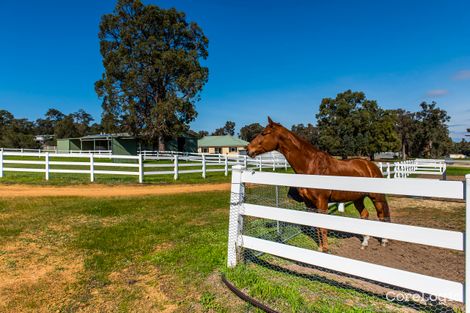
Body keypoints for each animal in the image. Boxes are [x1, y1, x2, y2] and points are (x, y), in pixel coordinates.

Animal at [246, 116, 390, 251]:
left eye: (264, 133)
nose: (248, 149)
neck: (311, 166)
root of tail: (371, 165)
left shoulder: (322, 202)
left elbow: (322, 226)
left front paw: (325, 249)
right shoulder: (309, 203)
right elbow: (316, 226)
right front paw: (320, 247)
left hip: (376, 197)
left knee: (381, 214)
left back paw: (383, 241)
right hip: (358, 198)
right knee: (365, 215)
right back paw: (364, 242)